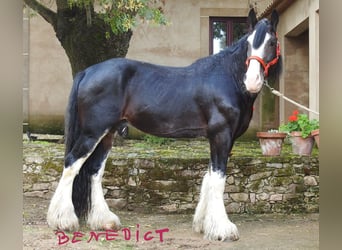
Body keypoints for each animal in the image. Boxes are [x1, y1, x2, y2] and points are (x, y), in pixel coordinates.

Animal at [48, 8, 284, 241]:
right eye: (249, 43)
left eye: (272, 42)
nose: (252, 81)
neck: (228, 79)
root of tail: (88, 71)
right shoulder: (221, 135)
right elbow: (218, 178)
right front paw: (222, 229)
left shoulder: (221, 138)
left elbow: (209, 177)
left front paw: (202, 224)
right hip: (93, 132)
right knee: (71, 163)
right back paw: (62, 220)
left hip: (107, 134)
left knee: (94, 170)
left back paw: (104, 220)